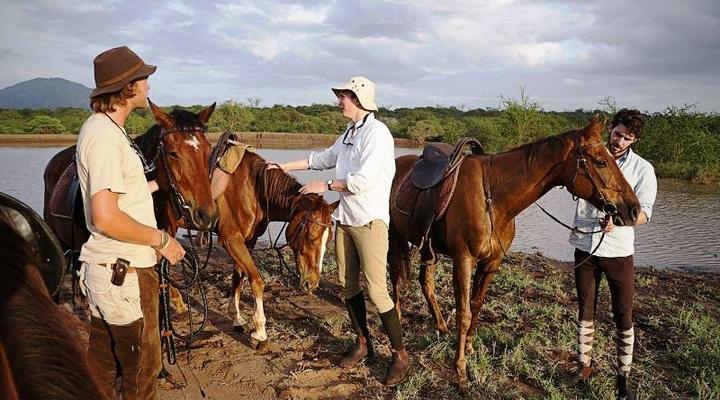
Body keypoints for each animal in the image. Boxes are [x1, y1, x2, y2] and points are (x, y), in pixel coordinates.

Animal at [213, 149, 337, 347]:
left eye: (329, 240)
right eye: (311, 236)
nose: (312, 284)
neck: (253, 188)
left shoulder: (247, 240)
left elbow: (238, 277)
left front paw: (237, 319)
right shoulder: (230, 239)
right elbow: (256, 281)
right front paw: (259, 333)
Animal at [387, 115, 641, 391]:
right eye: (601, 161)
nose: (634, 210)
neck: (493, 198)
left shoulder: (491, 263)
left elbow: (476, 306)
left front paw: (469, 347)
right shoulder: (463, 259)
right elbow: (464, 314)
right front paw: (461, 372)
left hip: (427, 248)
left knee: (426, 283)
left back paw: (441, 327)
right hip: (393, 237)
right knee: (395, 280)